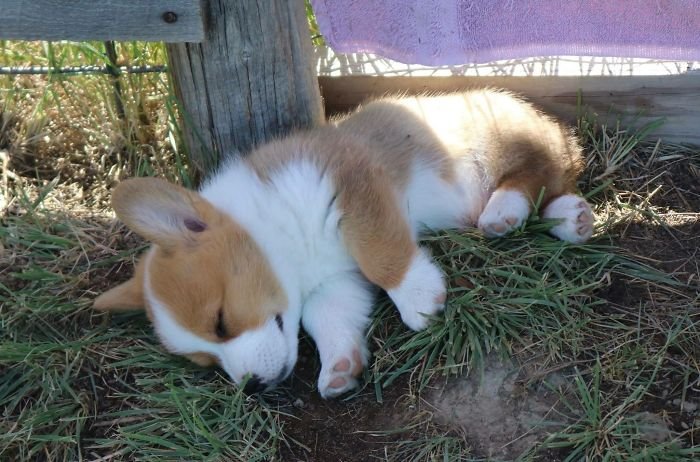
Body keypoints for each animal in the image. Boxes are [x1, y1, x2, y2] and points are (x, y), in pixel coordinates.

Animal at [95, 89, 592, 398]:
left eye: (219, 322)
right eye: (205, 361)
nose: (252, 387)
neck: (279, 228)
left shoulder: (352, 188)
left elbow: (380, 254)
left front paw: (418, 299)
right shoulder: (331, 284)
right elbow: (327, 319)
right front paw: (338, 368)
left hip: (496, 144)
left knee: (543, 169)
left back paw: (506, 209)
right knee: (556, 184)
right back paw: (572, 219)